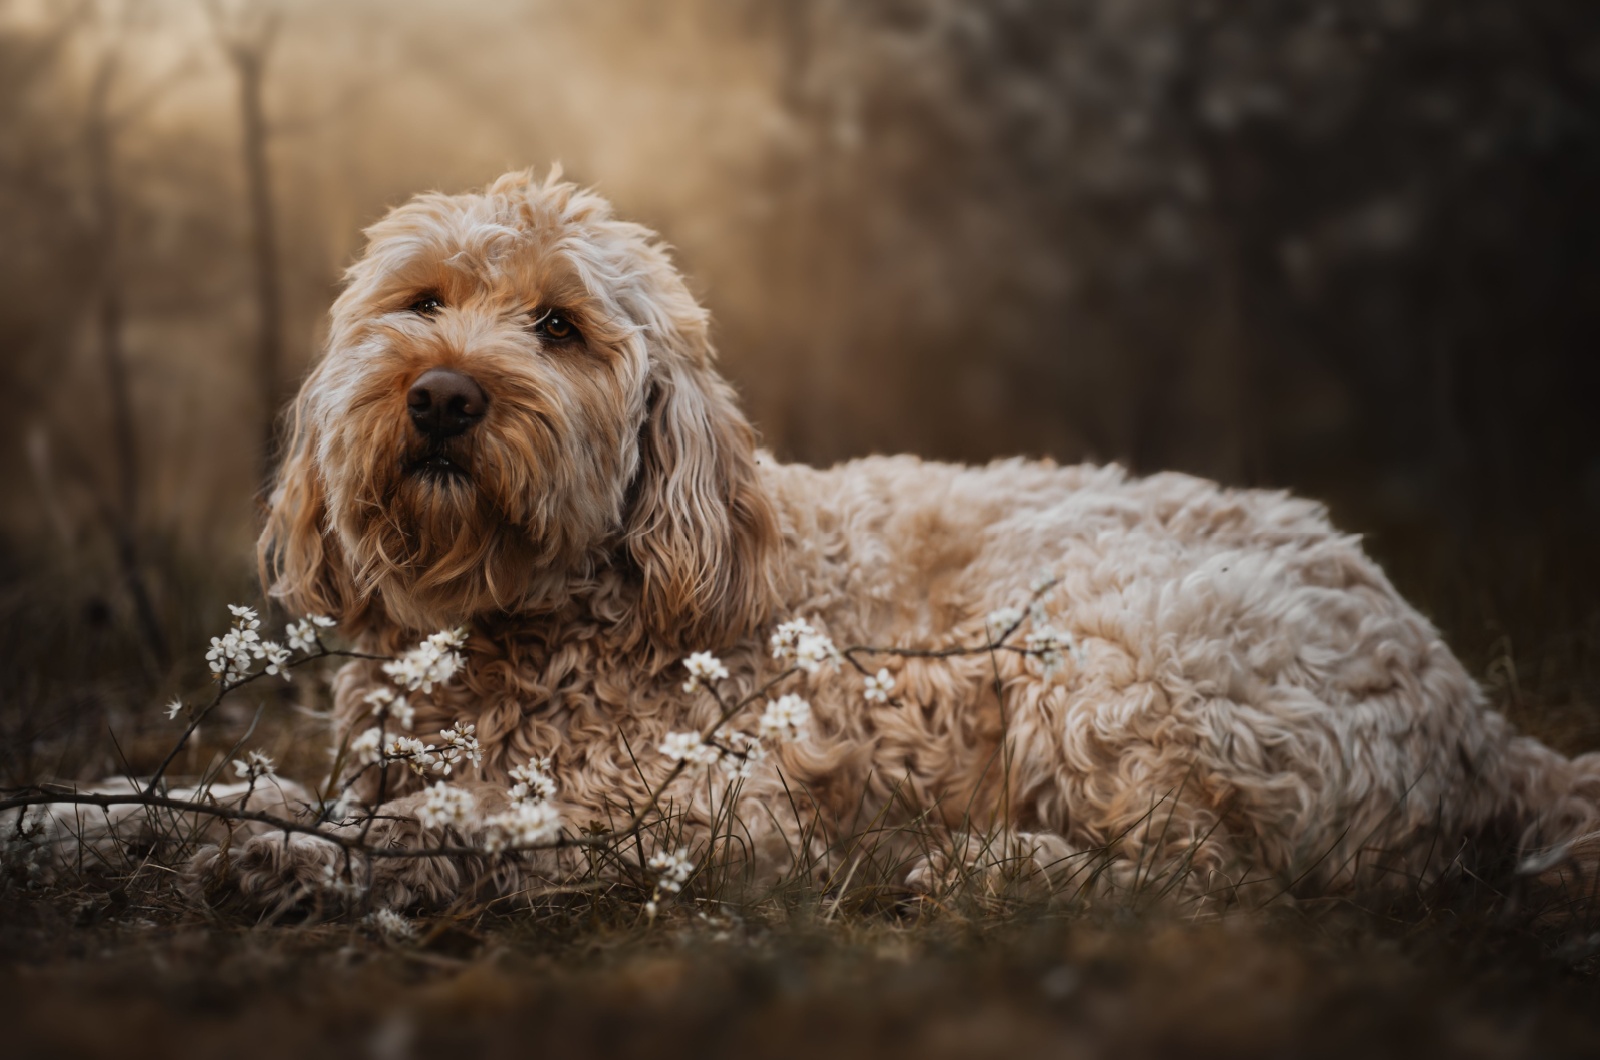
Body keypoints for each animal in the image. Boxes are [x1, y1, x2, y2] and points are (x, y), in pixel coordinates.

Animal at [68, 168, 1600, 915]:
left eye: (558, 326)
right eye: (422, 301)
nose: (442, 395)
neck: (525, 621)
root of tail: (1480, 722)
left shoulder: (705, 813)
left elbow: (462, 831)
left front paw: (293, 868)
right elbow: (220, 795)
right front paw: (85, 826)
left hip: (1103, 644)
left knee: (1220, 881)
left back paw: (1003, 872)